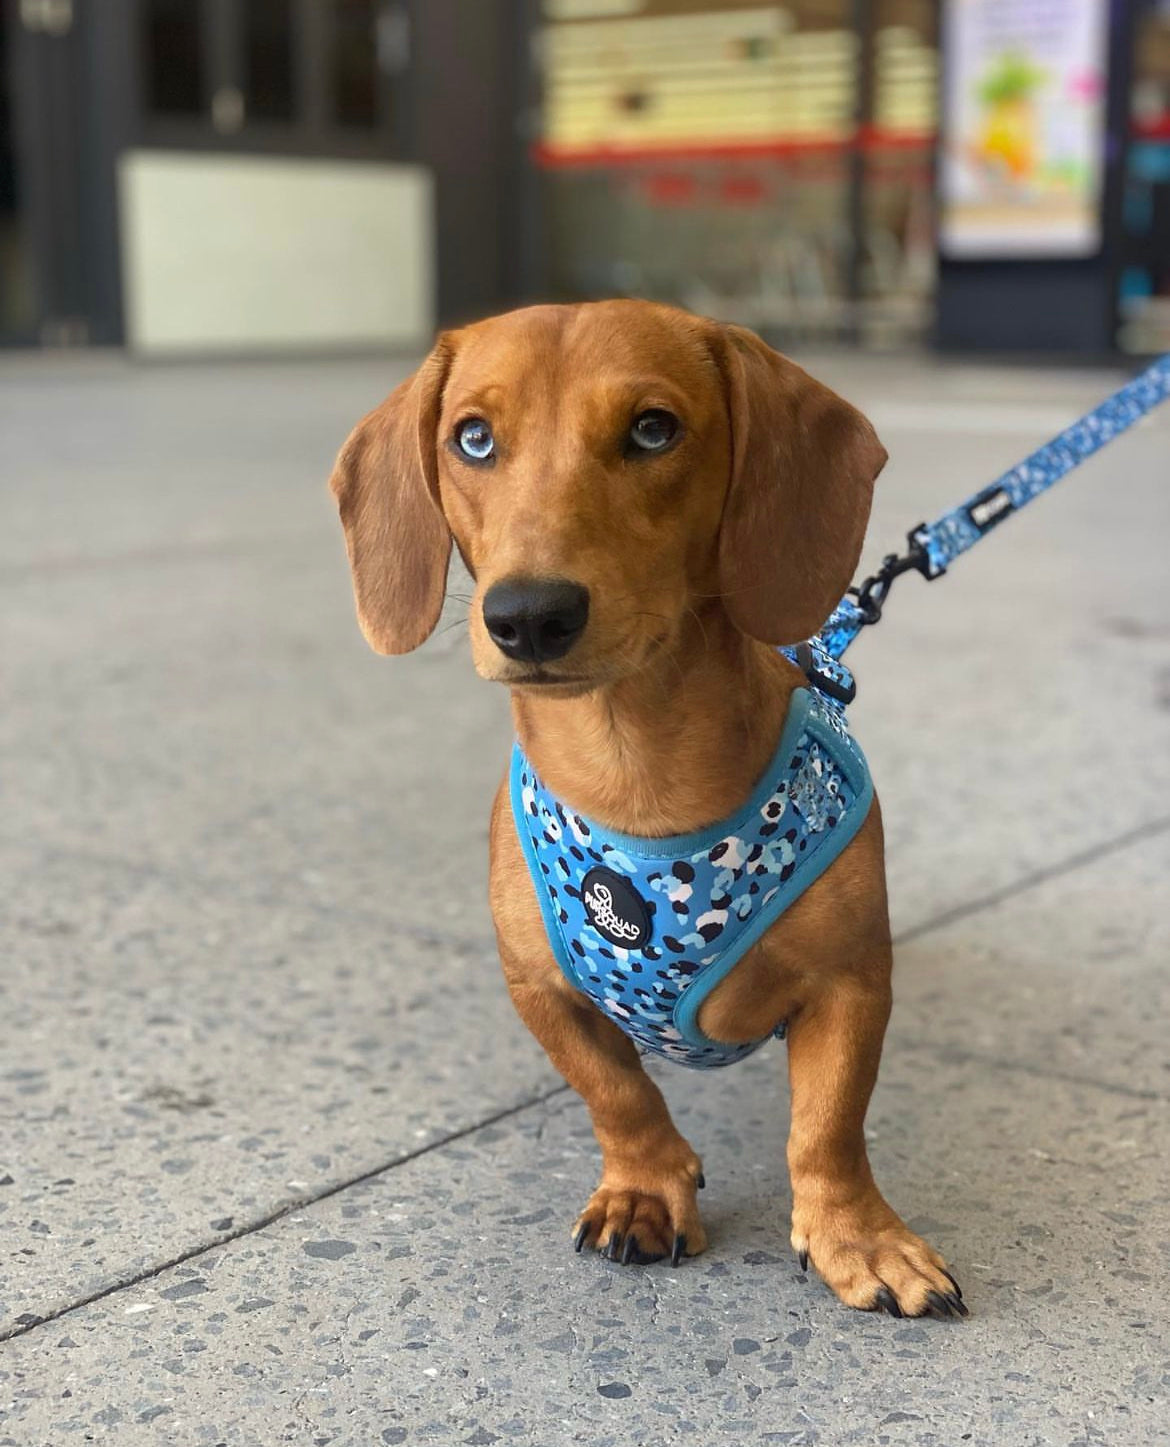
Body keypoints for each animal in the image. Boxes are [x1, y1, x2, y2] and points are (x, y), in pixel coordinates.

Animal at [331, 299, 966, 1319]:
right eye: (472, 438)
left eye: (654, 429)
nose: (528, 615)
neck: (637, 776)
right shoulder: (540, 990)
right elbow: (618, 1095)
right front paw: (645, 1188)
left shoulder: (851, 984)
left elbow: (828, 1126)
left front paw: (857, 1235)